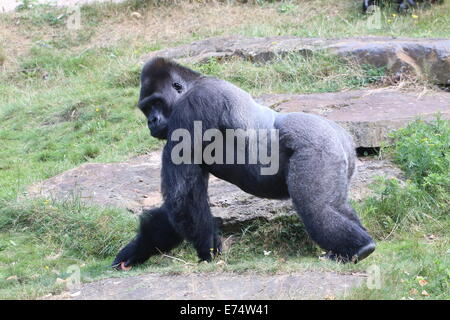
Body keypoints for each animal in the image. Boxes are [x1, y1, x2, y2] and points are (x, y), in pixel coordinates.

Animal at [112, 58, 376, 270]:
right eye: (146, 107)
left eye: (157, 103)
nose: (151, 121)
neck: (193, 84)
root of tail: (342, 134)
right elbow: (179, 204)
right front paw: (136, 251)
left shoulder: (193, 107)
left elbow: (182, 196)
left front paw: (208, 252)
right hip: (338, 155)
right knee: (335, 205)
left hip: (319, 146)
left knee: (315, 207)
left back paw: (359, 248)